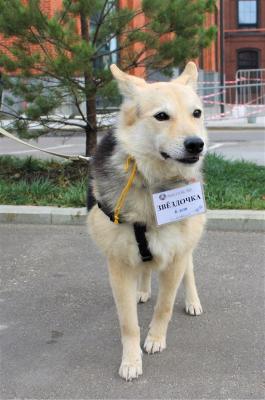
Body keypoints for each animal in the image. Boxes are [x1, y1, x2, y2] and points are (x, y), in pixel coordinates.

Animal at [87, 62, 207, 382]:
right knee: (144, 269)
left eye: (197, 113)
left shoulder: (176, 257)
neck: (152, 182)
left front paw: (155, 339)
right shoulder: (118, 265)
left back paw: (192, 301)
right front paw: (131, 360)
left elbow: (165, 306)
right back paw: (141, 290)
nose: (197, 144)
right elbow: (128, 323)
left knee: (189, 273)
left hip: (186, 249)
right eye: (161, 116)